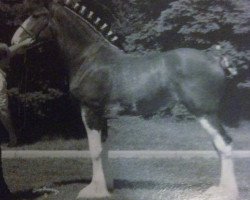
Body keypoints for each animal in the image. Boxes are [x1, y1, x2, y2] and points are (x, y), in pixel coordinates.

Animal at [11, 0, 240, 199]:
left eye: (36, 15)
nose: (13, 42)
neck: (90, 58)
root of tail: (214, 58)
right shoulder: (103, 116)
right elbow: (104, 149)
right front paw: (107, 187)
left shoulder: (90, 110)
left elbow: (95, 151)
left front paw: (94, 191)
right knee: (219, 145)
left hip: (204, 113)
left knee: (225, 144)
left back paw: (226, 192)